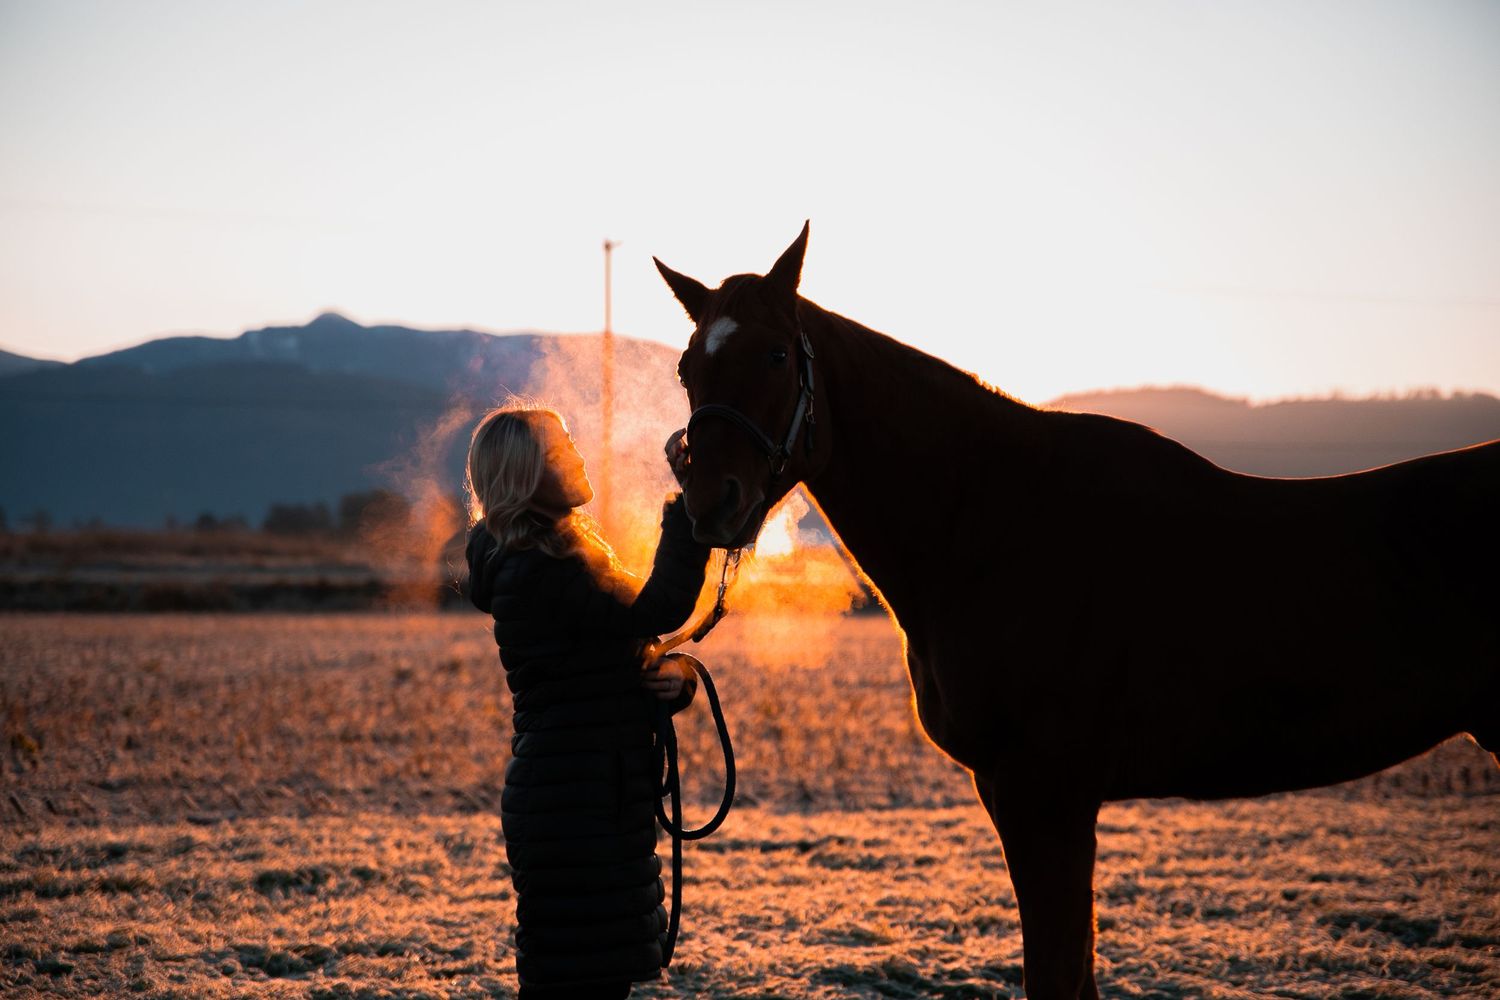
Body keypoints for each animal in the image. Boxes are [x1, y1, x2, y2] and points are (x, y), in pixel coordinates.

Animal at [652, 223, 1500, 999]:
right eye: (689, 368)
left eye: (777, 356)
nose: (711, 503)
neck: (993, 525)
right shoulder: (1016, 794)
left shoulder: (1048, 795)